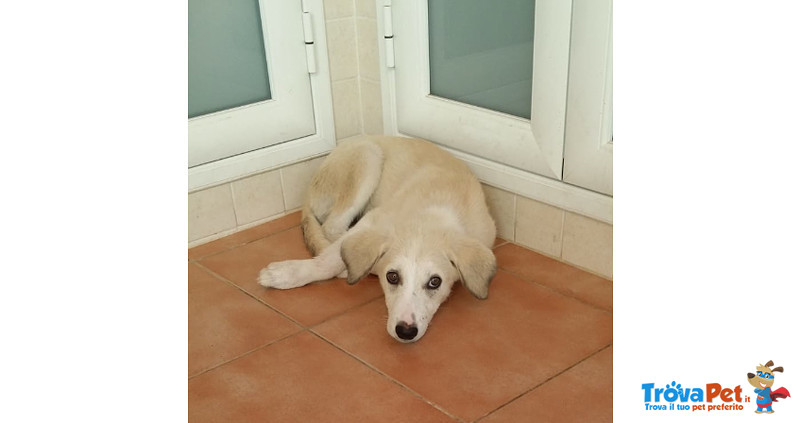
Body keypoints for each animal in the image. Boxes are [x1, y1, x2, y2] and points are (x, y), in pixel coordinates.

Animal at [258, 137, 494, 342]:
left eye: (435, 282)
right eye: (392, 277)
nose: (405, 331)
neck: (432, 216)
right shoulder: (373, 220)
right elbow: (329, 261)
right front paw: (286, 274)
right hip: (367, 158)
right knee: (332, 227)